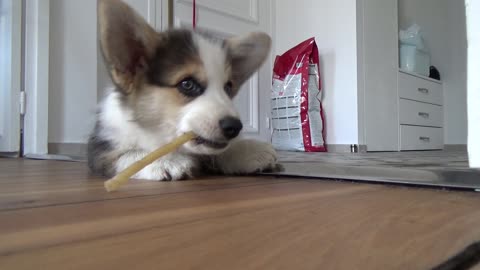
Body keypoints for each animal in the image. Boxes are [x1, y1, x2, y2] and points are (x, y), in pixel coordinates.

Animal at [87, 0, 278, 181]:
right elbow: (129, 154)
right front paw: (164, 161)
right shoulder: (101, 149)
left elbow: (218, 151)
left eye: (228, 87)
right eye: (187, 84)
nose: (235, 127)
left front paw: (248, 151)